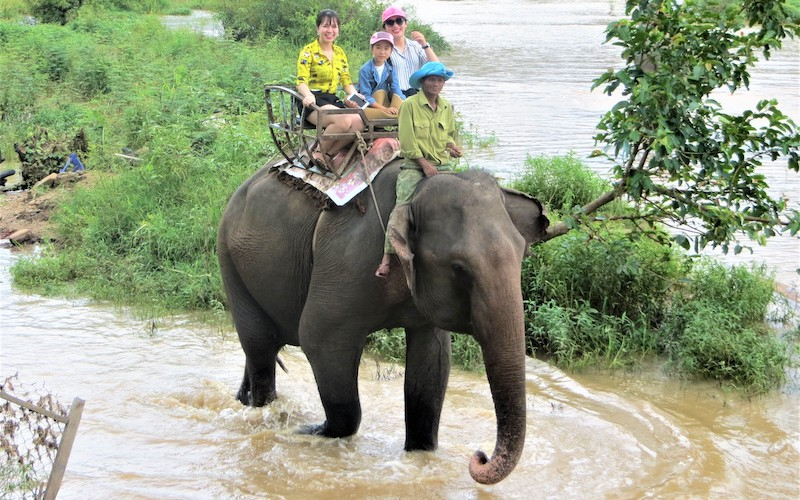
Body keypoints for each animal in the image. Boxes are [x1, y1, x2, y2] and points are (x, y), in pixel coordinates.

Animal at [216, 157, 548, 484]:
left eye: (523, 253)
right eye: (458, 267)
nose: (479, 456)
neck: (415, 192)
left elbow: (432, 362)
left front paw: (420, 452)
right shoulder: (348, 261)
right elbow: (319, 339)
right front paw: (306, 432)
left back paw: (244, 400)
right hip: (229, 259)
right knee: (260, 346)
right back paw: (265, 412)